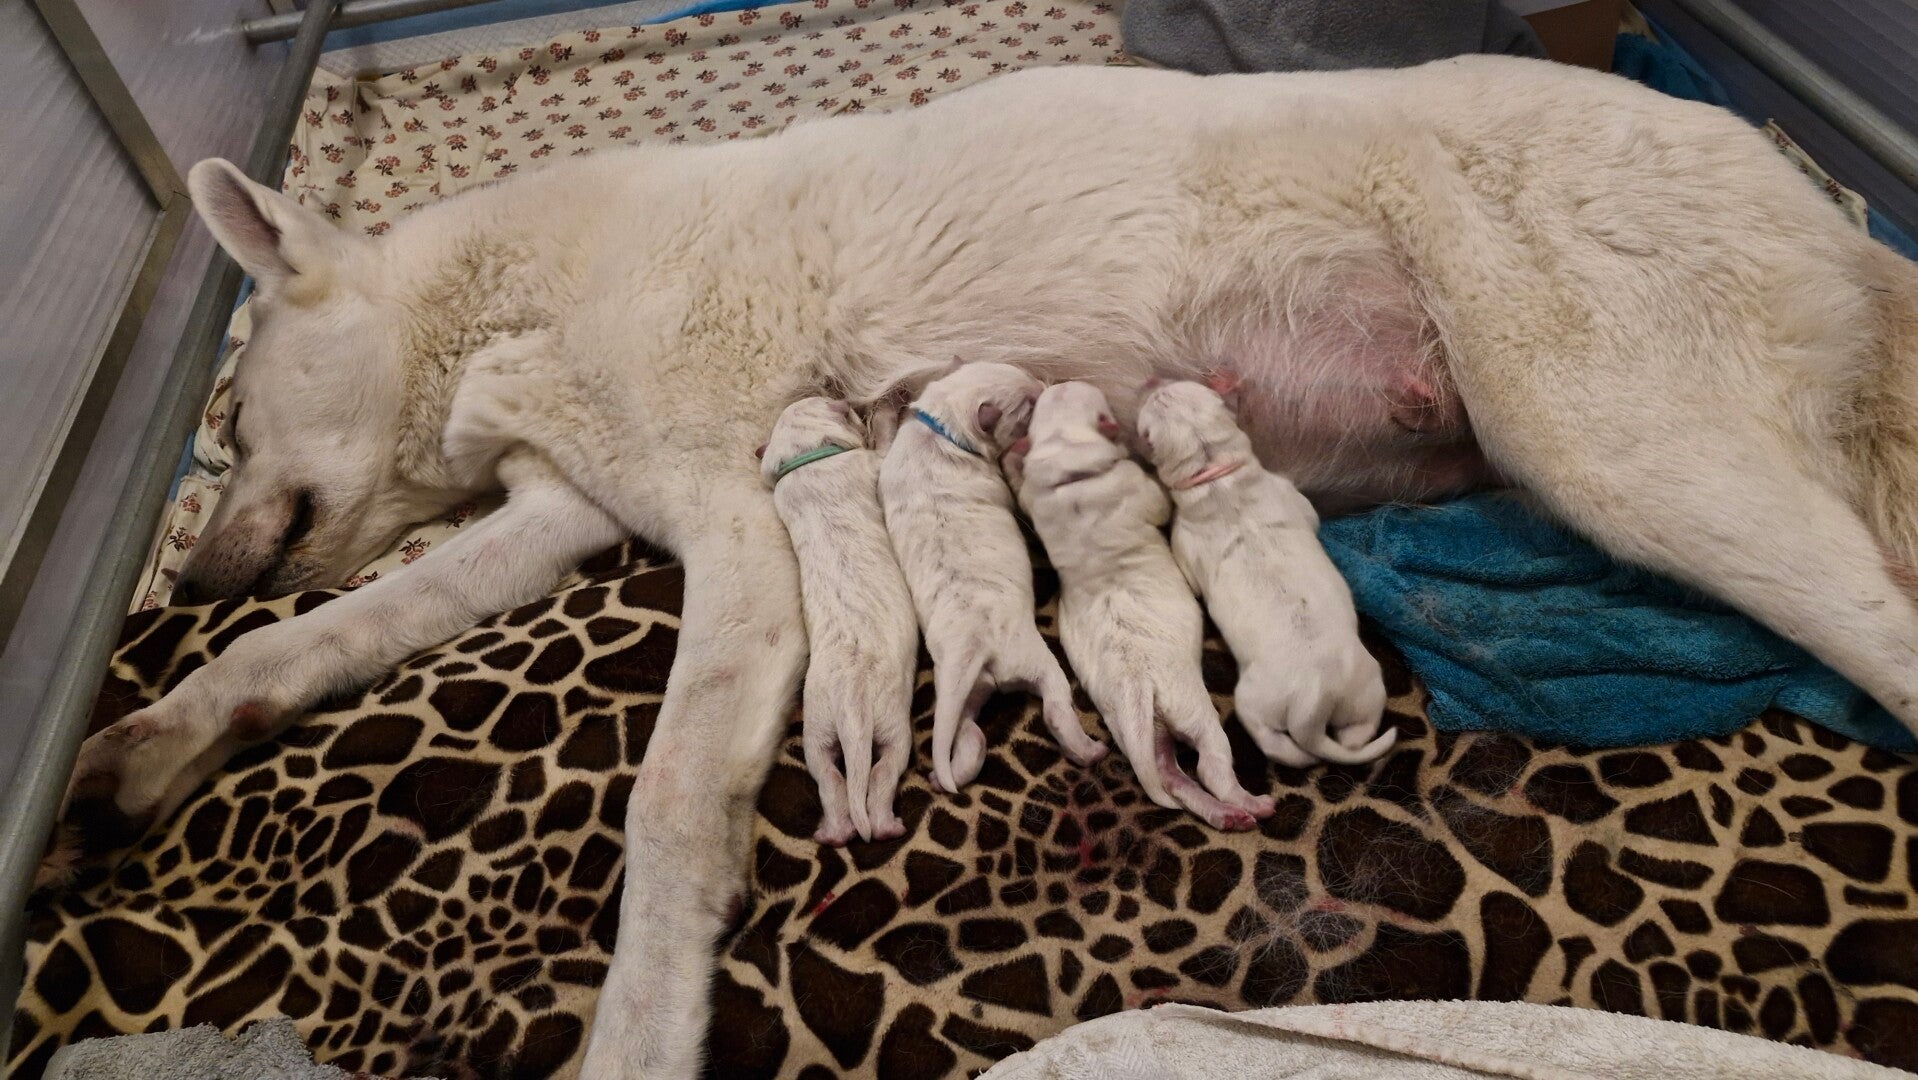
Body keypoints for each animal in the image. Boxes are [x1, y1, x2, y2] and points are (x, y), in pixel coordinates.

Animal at [760, 397, 918, 844]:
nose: (850, 403)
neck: (809, 460)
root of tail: (853, 708)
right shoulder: (870, 465)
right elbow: (883, 447)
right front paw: (886, 413)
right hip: (893, 726)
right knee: (882, 776)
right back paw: (888, 826)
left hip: (817, 730)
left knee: (829, 779)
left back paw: (832, 833)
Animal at [879, 362, 1109, 793]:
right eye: (1029, 404)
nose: (1047, 386)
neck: (942, 426)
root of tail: (974, 643)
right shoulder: (999, 481)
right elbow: (1013, 485)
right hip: (1038, 662)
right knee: (1055, 708)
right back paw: (1090, 750)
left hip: (966, 691)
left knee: (971, 735)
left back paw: (944, 776)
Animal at [1010, 382, 1276, 829]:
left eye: (1055, 396)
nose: (1059, 383)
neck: (1070, 473)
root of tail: (1137, 688)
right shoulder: (1138, 487)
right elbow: (1158, 500)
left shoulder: (1038, 495)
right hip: (1193, 711)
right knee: (1211, 765)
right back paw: (1248, 805)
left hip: (1132, 730)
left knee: (1171, 776)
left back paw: (1222, 814)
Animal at [1137, 377, 1397, 767]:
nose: (1153, 380)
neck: (1214, 470)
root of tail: (1312, 702)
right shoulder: (1288, 494)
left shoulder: (1186, 539)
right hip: (1361, 686)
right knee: (1353, 733)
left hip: (1285, 697)